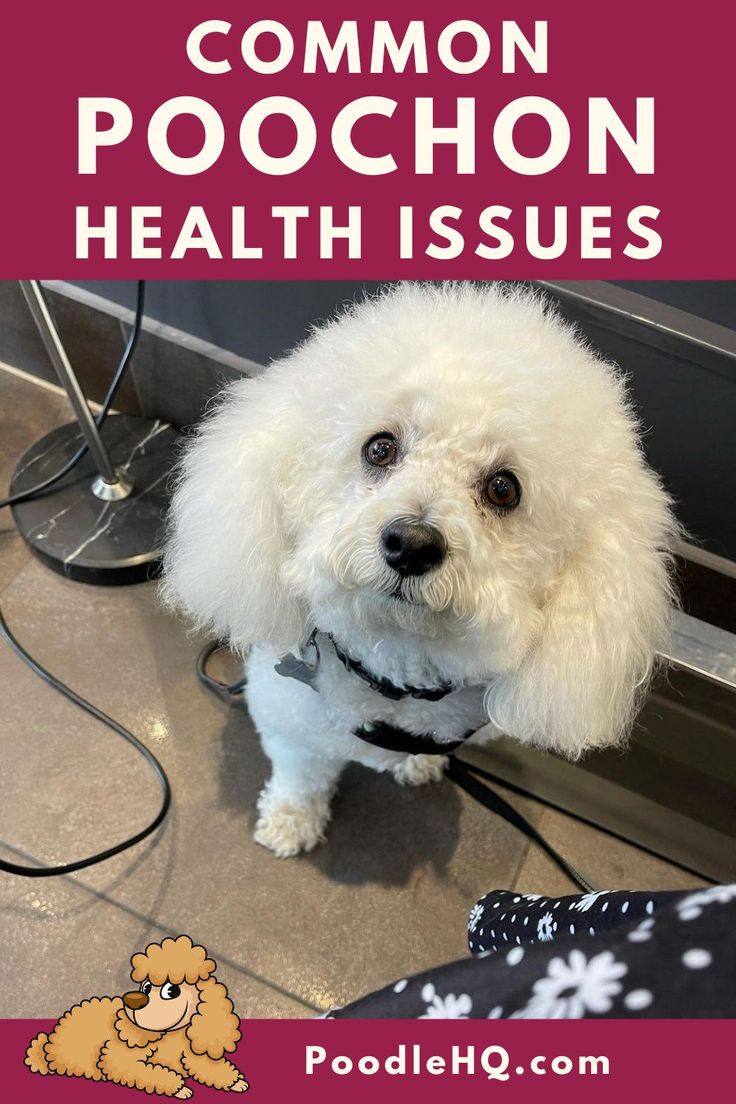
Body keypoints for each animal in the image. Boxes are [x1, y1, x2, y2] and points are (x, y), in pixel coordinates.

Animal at [164, 280, 675, 856]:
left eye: (503, 488)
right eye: (381, 447)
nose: (411, 545)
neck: (395, 675)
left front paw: (419, 764)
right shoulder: (291, 722)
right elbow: (302, 774)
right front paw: (291, 820)